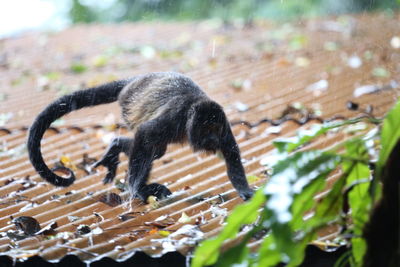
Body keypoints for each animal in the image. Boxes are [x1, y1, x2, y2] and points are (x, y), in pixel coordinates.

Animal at [27, 72, 253, 202]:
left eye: (216, 130)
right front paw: (136, 189)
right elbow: (146, 133)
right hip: (129, 106)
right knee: (149, 145)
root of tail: (133, 82)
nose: (214, 140)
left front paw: (245, 190)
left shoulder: (225, 126)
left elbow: (231, 153)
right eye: (207, 130)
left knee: (156, 150)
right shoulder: (175, 118)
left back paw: (117, 146)